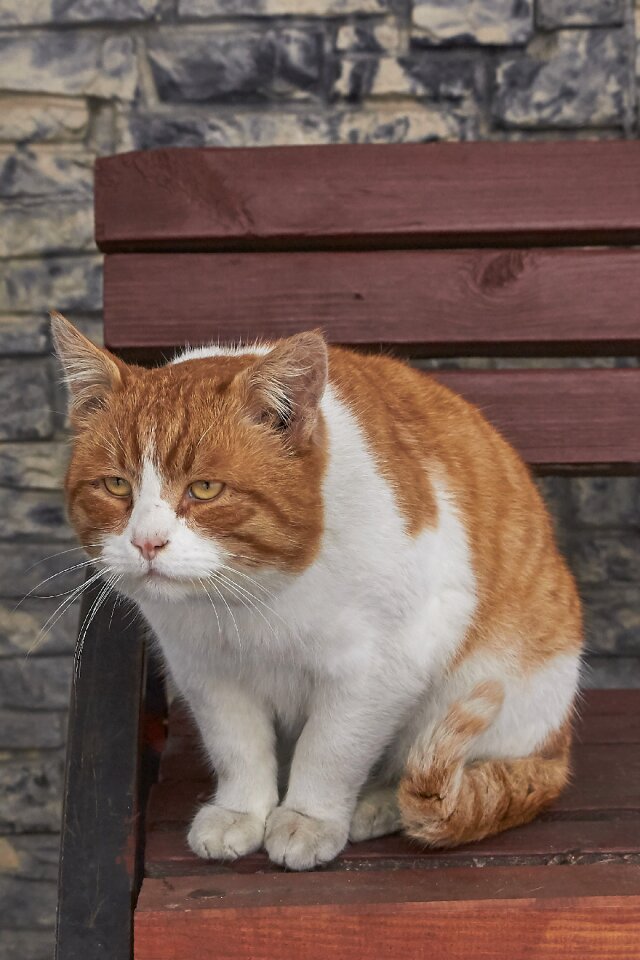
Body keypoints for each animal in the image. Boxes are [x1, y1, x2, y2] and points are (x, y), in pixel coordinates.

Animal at [52, 314, 584, 872]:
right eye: (116, 485)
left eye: (204, 489)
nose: (146, 542)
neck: (256, 598)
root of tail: (559, 748)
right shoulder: (205, 670)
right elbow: (236, 745)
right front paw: (241, 811)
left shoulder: (383, 668)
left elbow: (330, 749)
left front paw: (309, 818)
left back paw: (379, 804)